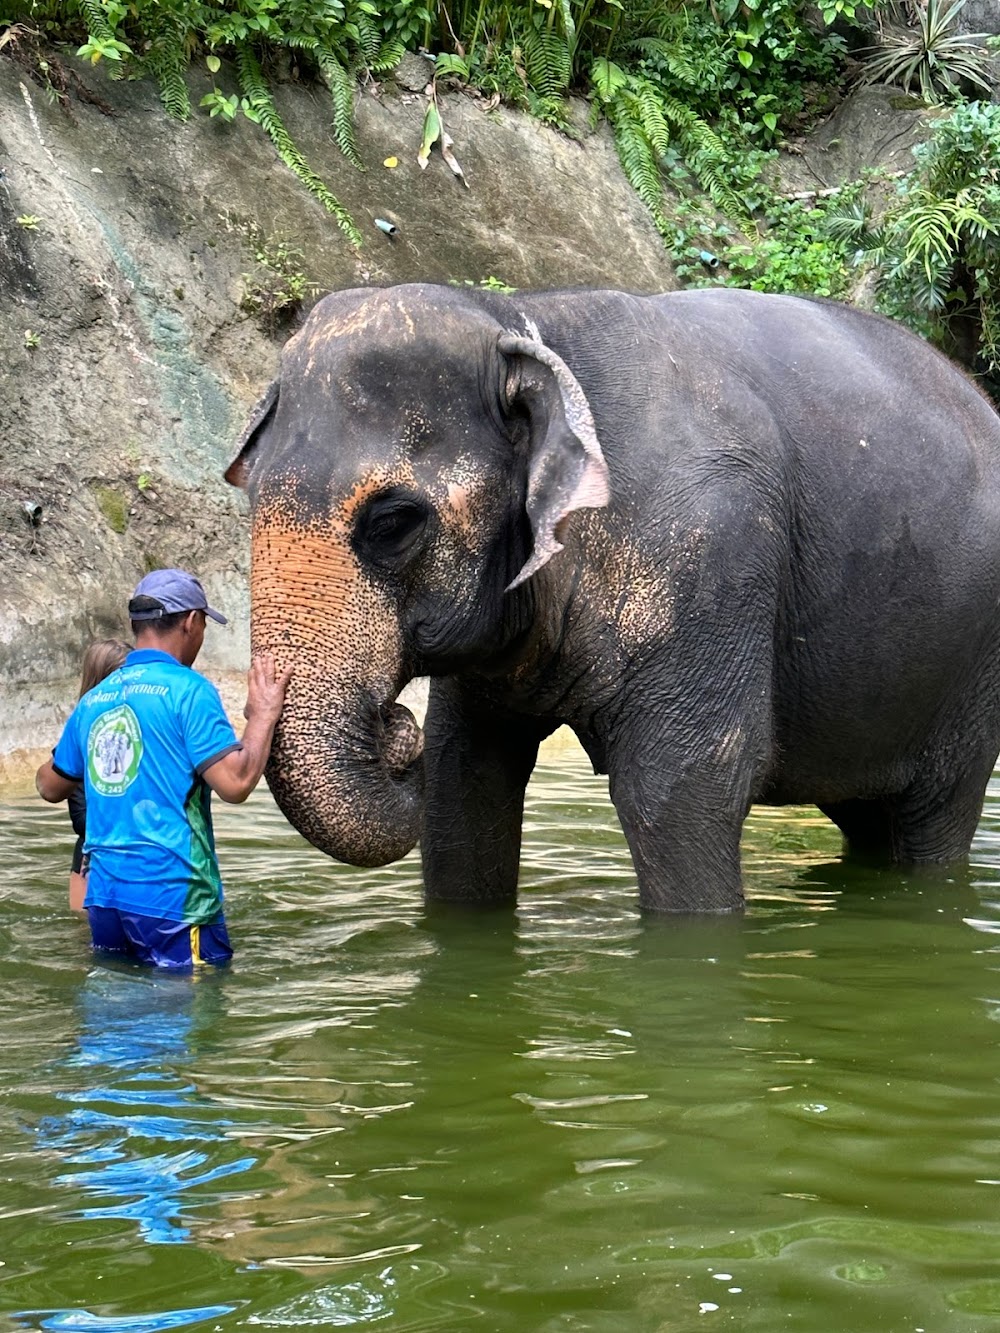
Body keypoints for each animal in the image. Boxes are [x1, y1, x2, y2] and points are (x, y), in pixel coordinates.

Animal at [225, 278, 1000, 906]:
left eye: (391, 522)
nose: (394, 730)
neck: (522, 320)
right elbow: (461, 777)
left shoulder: (709, 553)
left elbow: (678, 789)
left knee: (931, 822)